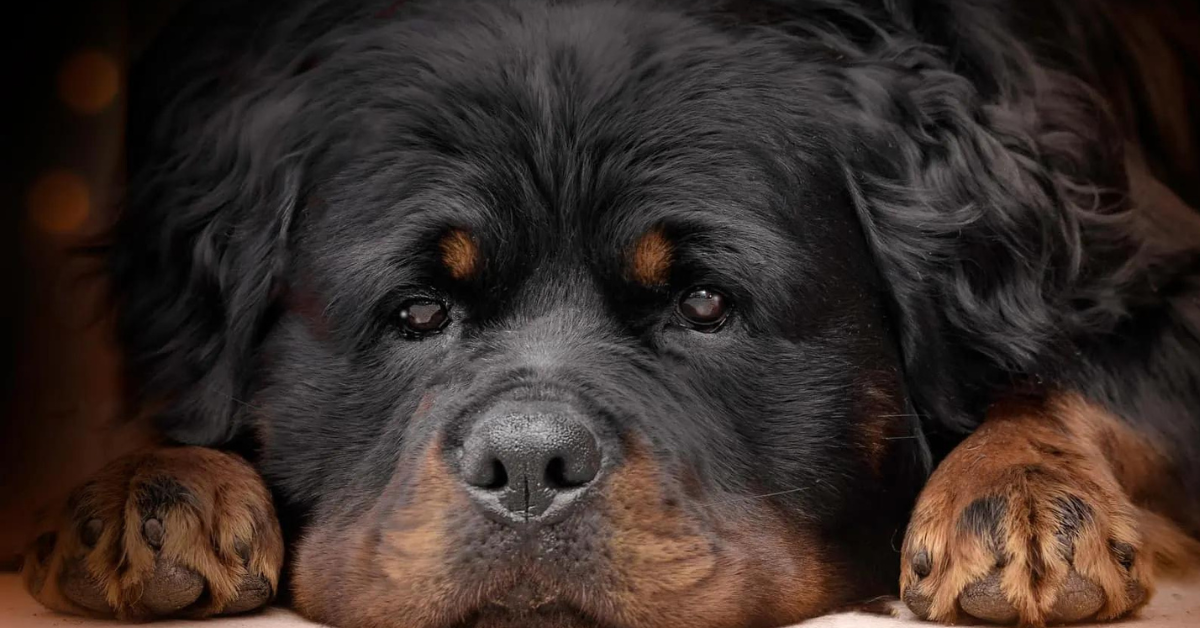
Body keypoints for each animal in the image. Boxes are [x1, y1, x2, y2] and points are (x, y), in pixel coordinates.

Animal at [18, 1, 1200, 628]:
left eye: (706, 303)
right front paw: (151, 486)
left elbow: (1073, 377)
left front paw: (1018, 497)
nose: (527, 466)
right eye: (415, 311)